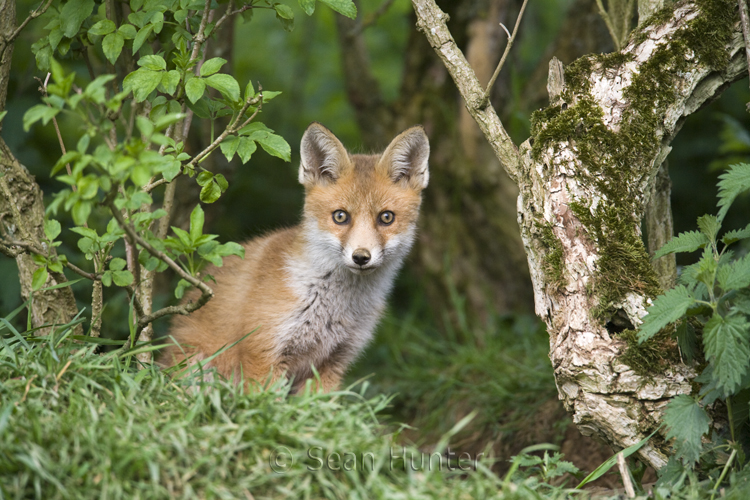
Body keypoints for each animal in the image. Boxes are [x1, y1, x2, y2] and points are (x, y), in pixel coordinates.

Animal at [163, 123, 434, 392]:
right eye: (340, 216)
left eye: (386, 217)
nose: (361, 257)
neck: (333, 307)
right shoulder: (264, 351)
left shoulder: (333, 361)